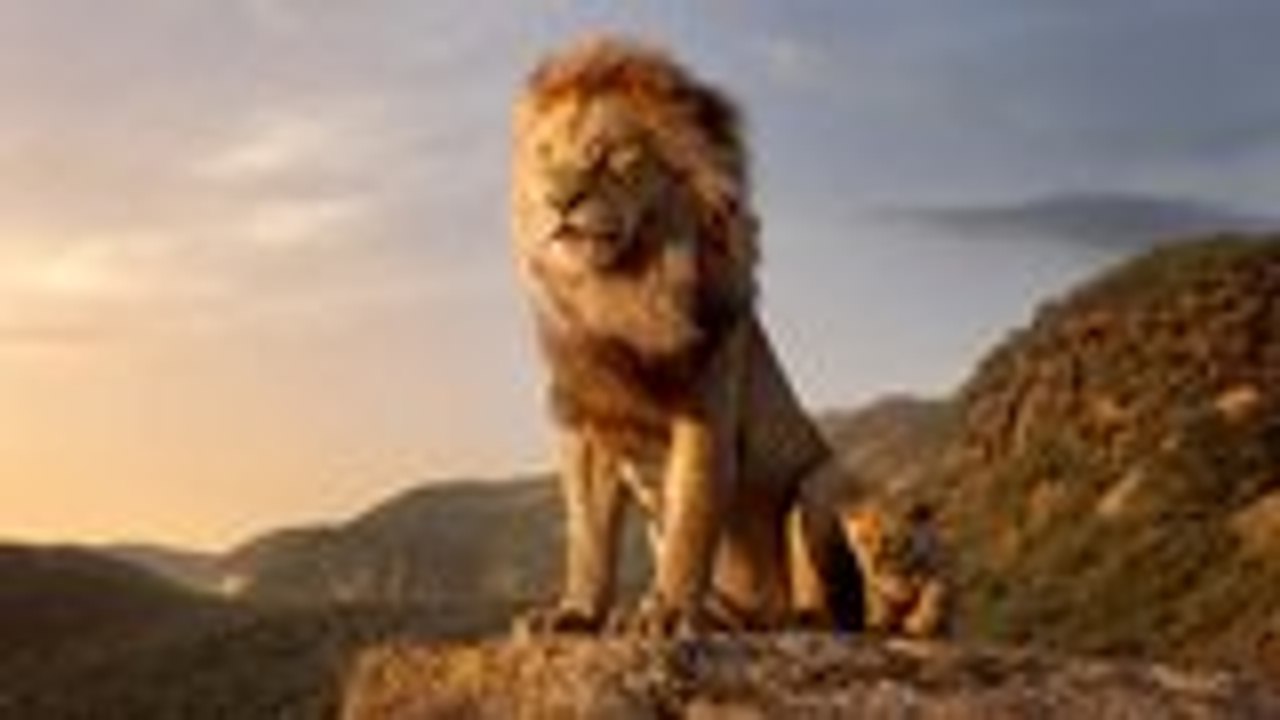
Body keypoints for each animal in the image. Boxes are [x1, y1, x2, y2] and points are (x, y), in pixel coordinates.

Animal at [511, 36, 862, 635]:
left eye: (610, 153)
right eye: (545, 156)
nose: (559, 200)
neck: (621, 293)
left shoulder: (706, 406)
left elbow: (690, 518)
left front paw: (669, 612)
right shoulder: (587, 422)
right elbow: (588, 537)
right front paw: (577, 612)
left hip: (823, 483)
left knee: (843, 607)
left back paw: (799, 620)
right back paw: (723, 615)